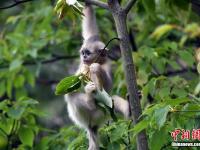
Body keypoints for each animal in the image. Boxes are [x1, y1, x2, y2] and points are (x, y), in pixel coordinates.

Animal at [64, 3, 130, 150]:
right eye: (83, 53)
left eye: (87, 53)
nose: (83, 57)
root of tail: (91, 125)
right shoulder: (90, 40)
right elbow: (90, 31)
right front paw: (87, 4)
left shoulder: (106, 66)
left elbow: (105, 83)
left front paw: (94, 69)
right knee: (71, 95)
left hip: (101, 113)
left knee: (111, 100)